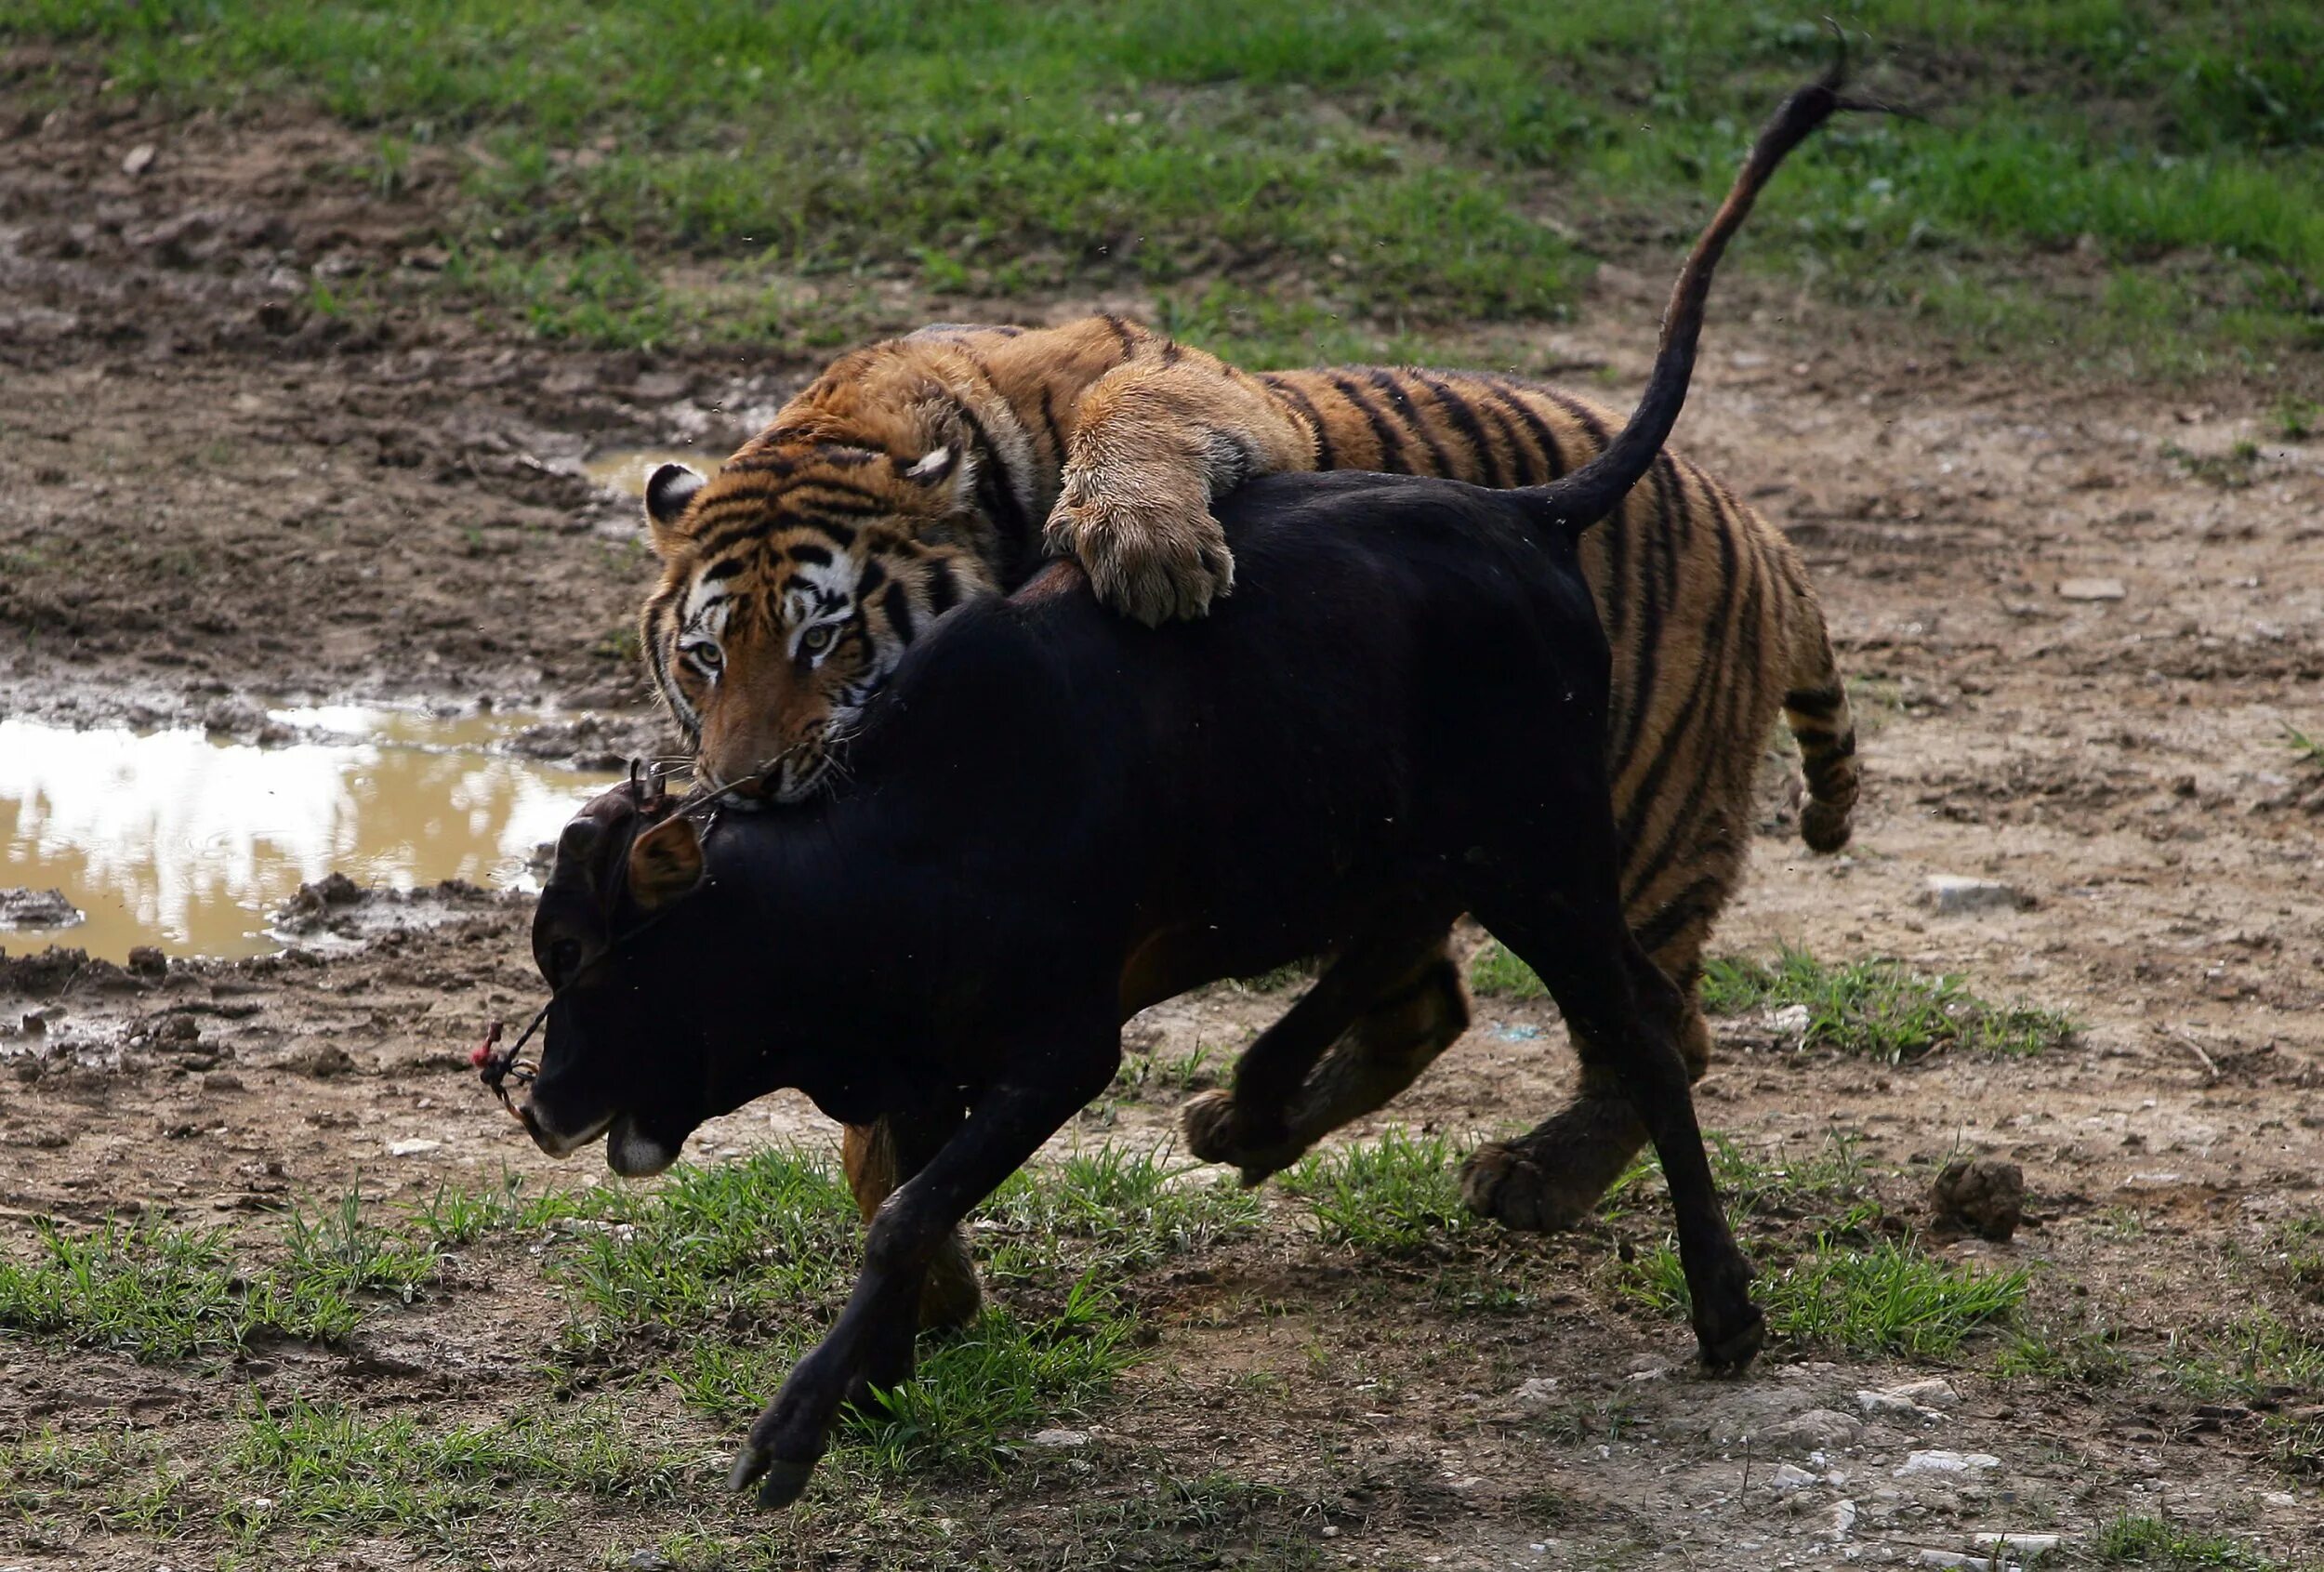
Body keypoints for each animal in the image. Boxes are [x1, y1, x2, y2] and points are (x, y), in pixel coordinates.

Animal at [641, 309, 1868, 1329]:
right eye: (704, 656)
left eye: (823, 637)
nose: (743, 784)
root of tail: (1764, 534)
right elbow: (882, 1123)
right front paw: (928, 1280)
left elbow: (1134, 407)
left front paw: (1145, 540)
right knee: (1428, 999)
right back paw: (1253, 1122)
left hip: (1610, 830)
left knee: (1660, 1023)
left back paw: (1538, 1175)